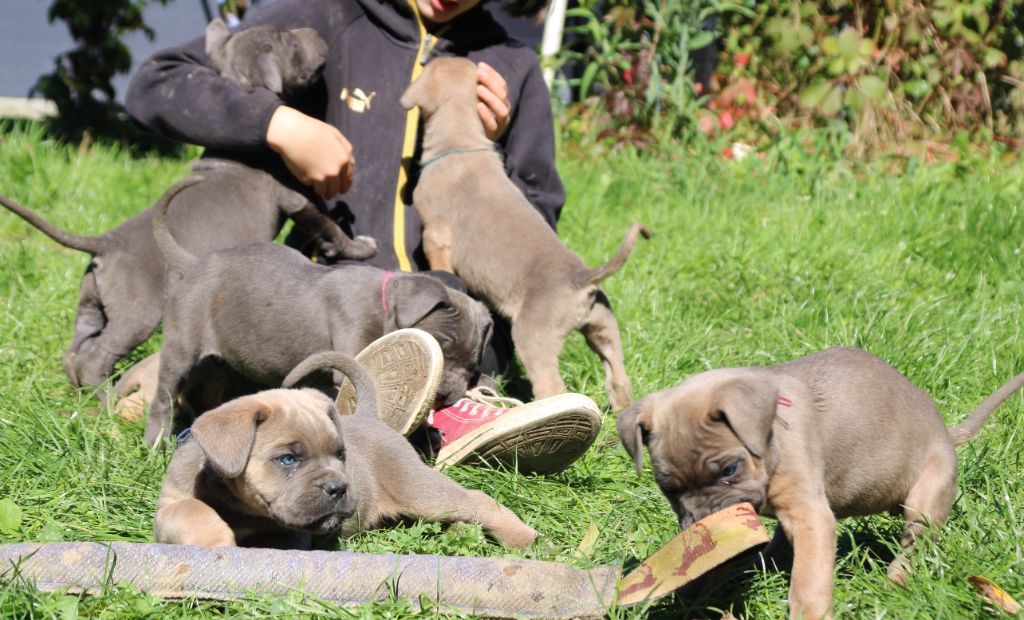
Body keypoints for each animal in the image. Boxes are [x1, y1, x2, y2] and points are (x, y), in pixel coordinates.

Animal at [146, 177, 493, 444]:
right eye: (441, 348)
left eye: (473, 365)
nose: (446, 394)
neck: (383, 305)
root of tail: (194, 263)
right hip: (182, 344)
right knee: (164, 395)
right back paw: (156, 443)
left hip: (230, 363)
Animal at [156, 350, 540, 549]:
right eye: (287, 459)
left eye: (341, 456)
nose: (338, 488)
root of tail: (371, 417)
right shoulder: (169, 506)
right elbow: (192, 510)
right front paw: (215, 540)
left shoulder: (292, 534)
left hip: (419, 489)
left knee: (476, 500)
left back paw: (520, 538)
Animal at [399, 54, 647, 411]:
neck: (463, 143)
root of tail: (583, 277)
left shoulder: (436, 234)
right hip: (604, 325)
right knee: (618, 376)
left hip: (533, 337)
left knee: (553, 386)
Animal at [614, 348, 1024, 618]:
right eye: (667, 488)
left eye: (729, 470)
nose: (703, 520)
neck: (772, 436)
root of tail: (946, 433)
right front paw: (694, 590)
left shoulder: (811, 516)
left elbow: (808, 581)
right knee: (779, 545)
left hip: (924, 500)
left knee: (916, 544)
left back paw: (896, 580)